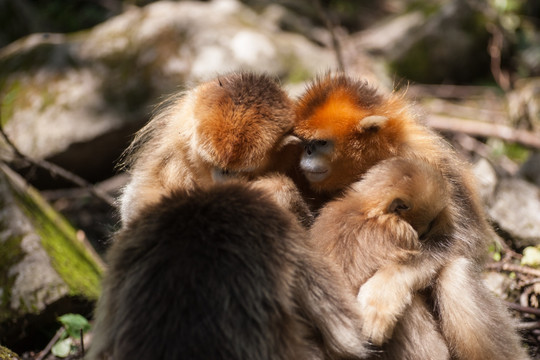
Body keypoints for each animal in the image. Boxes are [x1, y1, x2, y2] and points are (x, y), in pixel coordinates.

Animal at [294, 74, 528, 360]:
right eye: (305, 143)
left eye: (320, 143)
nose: (306, 153)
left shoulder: (430, 160)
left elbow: (466, 239)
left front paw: (383, 293)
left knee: (455, 274)